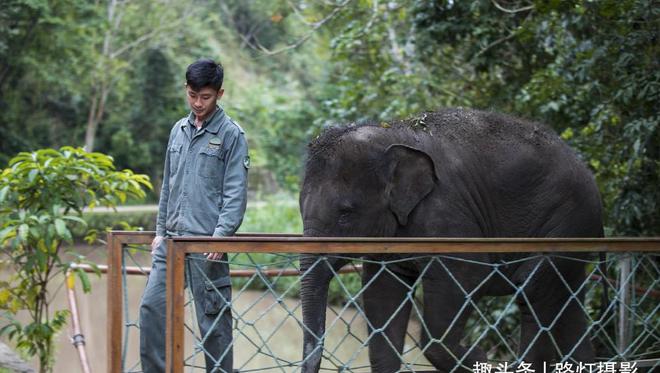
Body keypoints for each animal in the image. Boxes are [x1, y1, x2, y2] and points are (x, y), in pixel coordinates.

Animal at [300, 106, 604, 370]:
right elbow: (382, 293)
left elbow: (466, 276)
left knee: (534, 293)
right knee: (565, 300)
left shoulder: (448, 213)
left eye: (345, 214)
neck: (392, 132)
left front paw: (478, 356)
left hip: (565, 223)